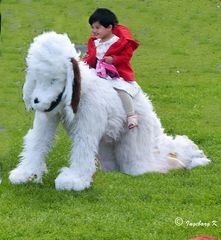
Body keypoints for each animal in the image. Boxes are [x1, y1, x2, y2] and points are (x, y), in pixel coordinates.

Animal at [9, 31, 211, 190]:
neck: (82, 91)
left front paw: (73, 181)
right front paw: (25, 174)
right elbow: (38, 141)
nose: (35, 101)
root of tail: (146, 103)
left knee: (148, 163)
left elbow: (83, 145)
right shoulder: (49, 116)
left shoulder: (90, 115)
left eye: (53, 80)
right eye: (36, 79)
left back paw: (190, 159)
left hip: (136, 146)